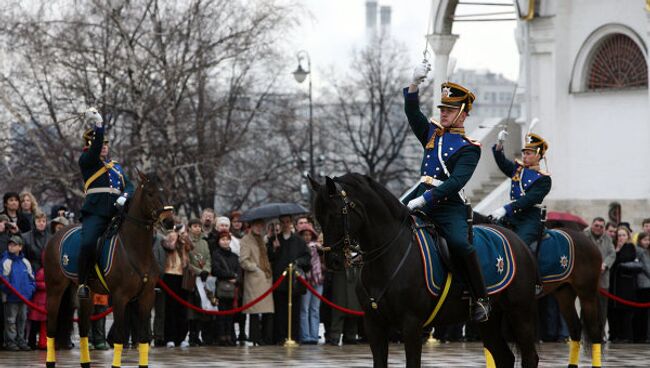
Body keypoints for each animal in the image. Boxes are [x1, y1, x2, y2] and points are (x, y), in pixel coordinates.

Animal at [44, 172, 173, 368]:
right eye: (150, 193)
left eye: (166, 191)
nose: (169, 221)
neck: (136, 249)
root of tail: (55, 236)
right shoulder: (120, 298)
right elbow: (119, 338)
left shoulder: (147, 296)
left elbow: (144, 339)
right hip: (54, 290)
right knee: (51, 329)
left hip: (85, 294)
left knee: (83, 330)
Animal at [312, 173, 540, 368]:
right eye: (318, 218)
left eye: (335, 214)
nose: (331, 260)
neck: (389, 254)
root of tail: (520, 242)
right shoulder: (374, 325)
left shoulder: (412, 325)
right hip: (489, 321)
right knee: (503, 357)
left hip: (521, 313)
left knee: (530, 357)